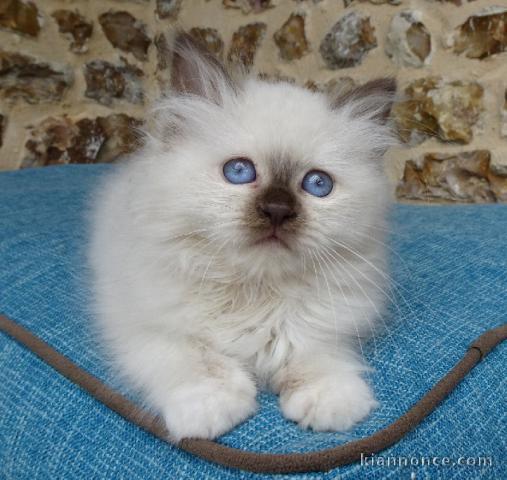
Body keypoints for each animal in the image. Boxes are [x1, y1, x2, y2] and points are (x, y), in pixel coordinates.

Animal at [89, 33, 396, 442]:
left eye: (318, 184)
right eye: (239, 171)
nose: (277, 210)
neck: (254, 290)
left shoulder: (323, 328)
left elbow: (316, 355)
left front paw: (330, 403)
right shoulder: (140, 325)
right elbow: (193, 358)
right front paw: (213, 406)